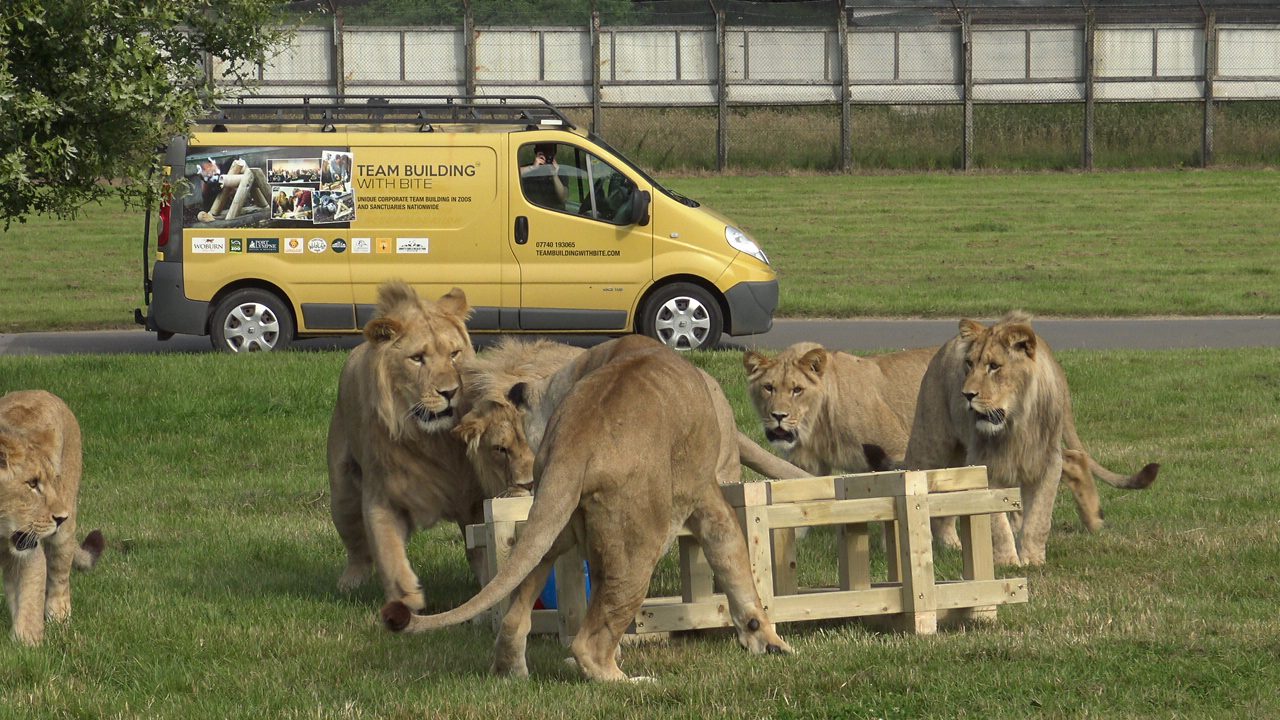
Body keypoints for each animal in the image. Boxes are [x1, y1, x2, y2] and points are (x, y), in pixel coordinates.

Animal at [0, 390, 104, 645]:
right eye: (32, 483)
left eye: (49, 480)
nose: (60, 517)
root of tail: (42, 392)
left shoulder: (29, 550)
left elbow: (30, 601)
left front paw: (26, 645)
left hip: (63, 534)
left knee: (59, 577)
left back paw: (58, 616)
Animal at [327, 282, 486, 611]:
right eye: (417, 358)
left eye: (454, 354)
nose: (450, 392)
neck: (433, 441)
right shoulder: (382, 495)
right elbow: (388, 552)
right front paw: (406, 601)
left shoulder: (474, 496)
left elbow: (483, 548)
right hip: (342, 495)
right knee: (357, 548)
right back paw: (350, 582)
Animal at [382, 335, 793, 681]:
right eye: (500, 449)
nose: (522, 483)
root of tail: (575, 441)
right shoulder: (707, 494)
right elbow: (734, 562)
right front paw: (770, 639)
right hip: (638, 550)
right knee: (590, 644)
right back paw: (627, 680)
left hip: (549, 529)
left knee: (515, 614)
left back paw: (511, 671)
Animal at [743, 343, 938, 475]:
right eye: (768, 388)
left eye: (797, 390)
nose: (778, 416)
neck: (816, 428)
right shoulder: (809, 468)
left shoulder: (897, 453)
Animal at [902, 312, 1160, 566]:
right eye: (969, 364)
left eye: (994, 366)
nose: (966, 394)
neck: (1016, 424)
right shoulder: (986, 464)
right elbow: (996, 522)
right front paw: (1007, 561)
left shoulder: (1046, 461)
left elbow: (1039, 516)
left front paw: (1033, 559)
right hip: (931, 445)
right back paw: (941, 545)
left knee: (1074, 459)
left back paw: (1095, 520)